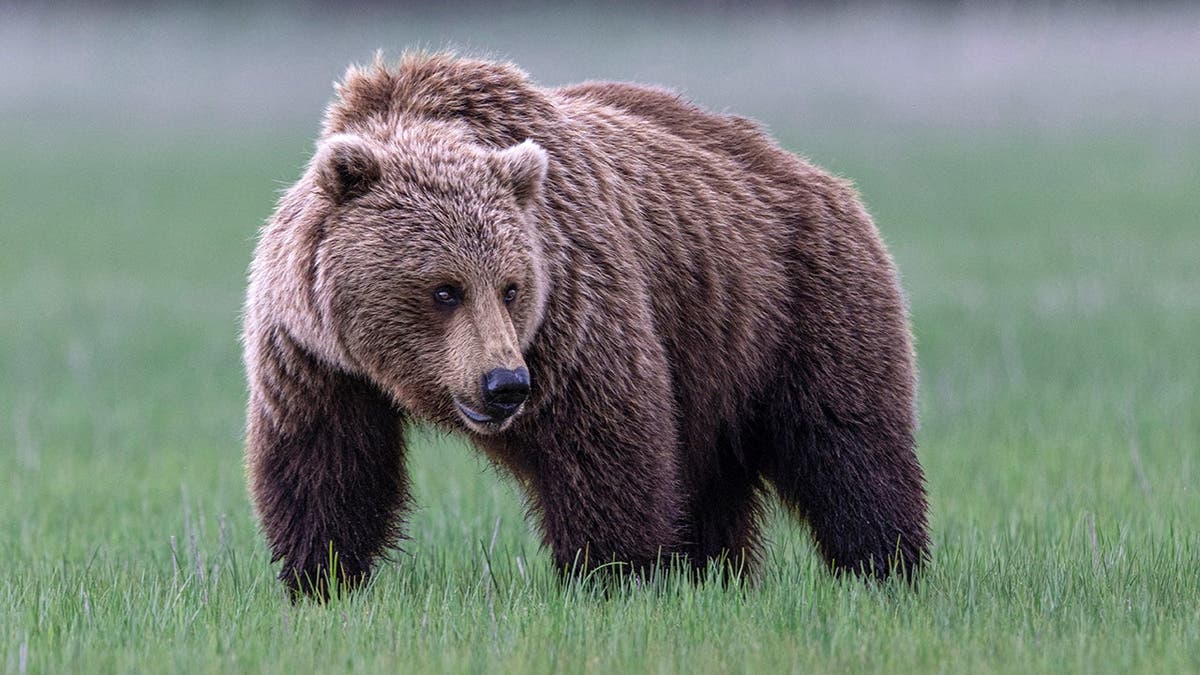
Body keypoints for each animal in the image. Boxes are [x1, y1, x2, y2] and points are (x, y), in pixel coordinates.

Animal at [243, 53, 929, 598]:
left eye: (511, 287)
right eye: (444, 289)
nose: (504, 384)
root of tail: (816, 174)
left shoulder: (572, 312)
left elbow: (604, 442)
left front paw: (612, 574)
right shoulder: (314, 356)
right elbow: (327, 464)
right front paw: (319, 578)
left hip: (798, 302)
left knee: (847, 443)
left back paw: (886, 566)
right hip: (715, 358)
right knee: (713, 477)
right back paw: (714, 572)